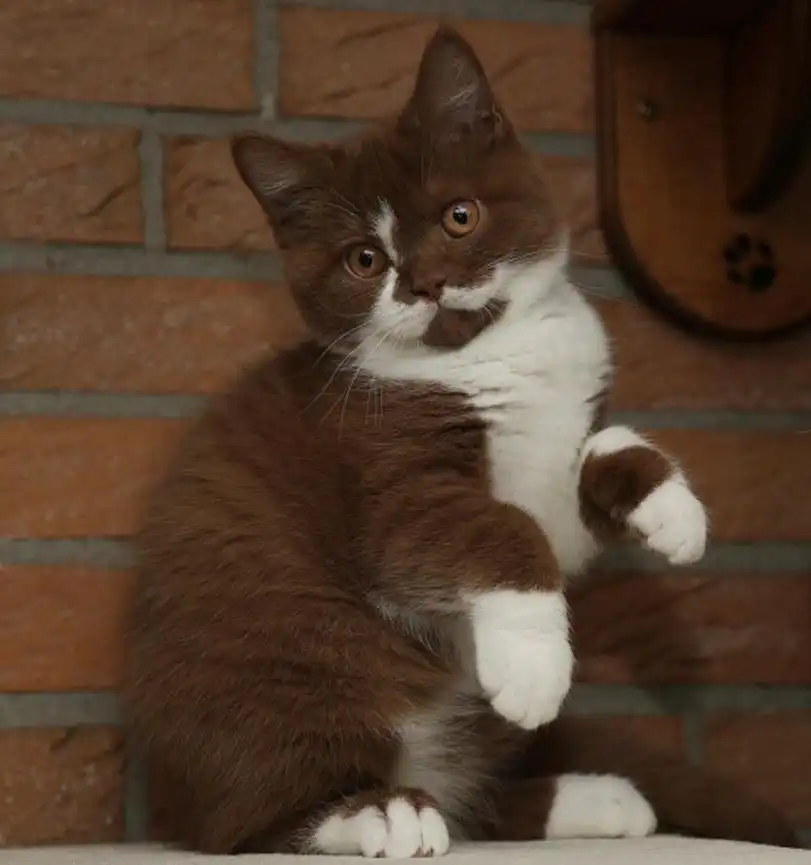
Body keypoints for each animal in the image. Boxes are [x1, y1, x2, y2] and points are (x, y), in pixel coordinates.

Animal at [124, 27, 799, 857]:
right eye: (364, 260)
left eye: (459, 216)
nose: (426, 282)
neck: (490, 350)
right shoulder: (380, 470)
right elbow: (495, 527)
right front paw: (536, 664)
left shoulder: (558, 466)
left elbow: (588, 461)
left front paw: (669, 508)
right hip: (293, 664)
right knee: (256, 819)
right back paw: (378, 811)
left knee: (474, 795)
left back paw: (594, 798)